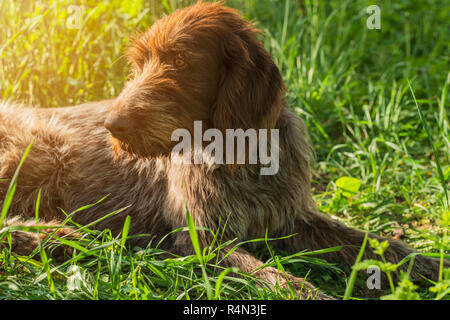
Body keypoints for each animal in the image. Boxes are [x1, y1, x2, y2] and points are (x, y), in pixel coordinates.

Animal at [0, 1, 446, 300]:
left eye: (180, 61)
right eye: (140, 63)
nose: (113, 125)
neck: (241, 156)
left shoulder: (294, 219)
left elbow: (380, 244)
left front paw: (434, 266)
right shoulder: (205, 242)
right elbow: (280, 279)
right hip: (35, 151)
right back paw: (53, 236)